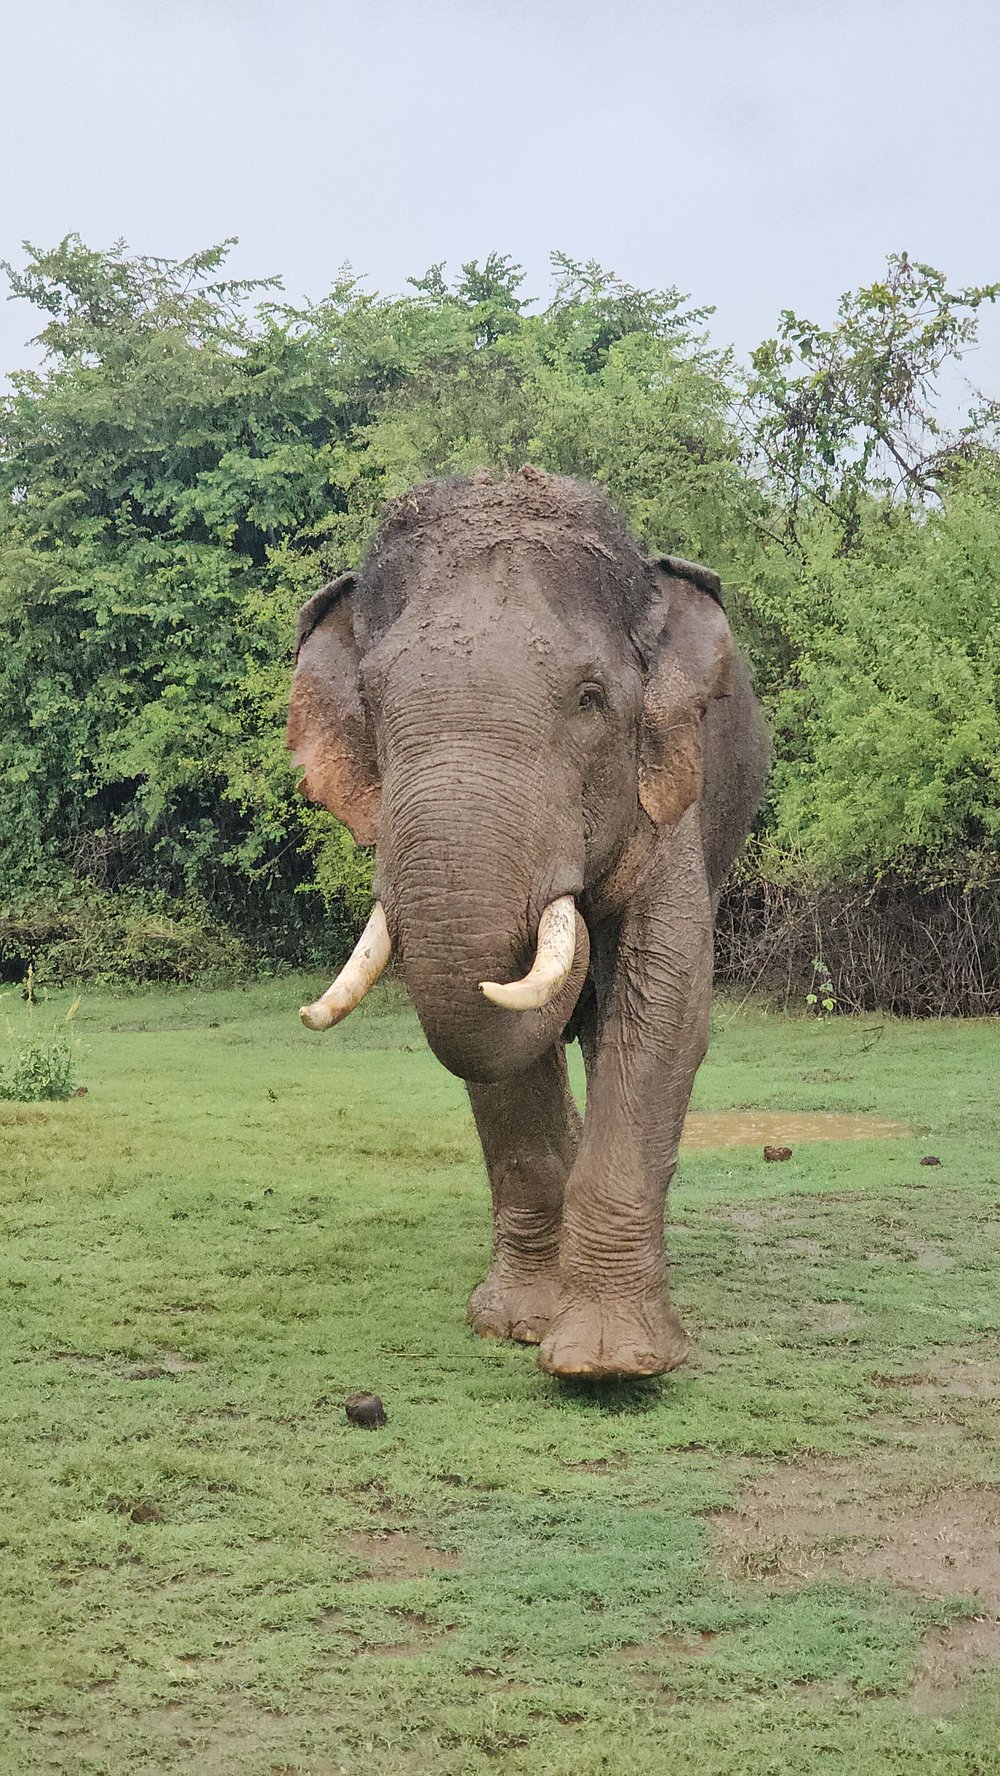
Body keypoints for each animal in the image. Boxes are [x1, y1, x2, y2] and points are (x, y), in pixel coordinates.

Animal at [287, 467, 769, 1378]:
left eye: (589, 699)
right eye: (370, 700)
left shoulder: (669, 802)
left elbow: (664, 1011)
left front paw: (608, 1363)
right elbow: (489, 1046)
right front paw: (516, 1324)